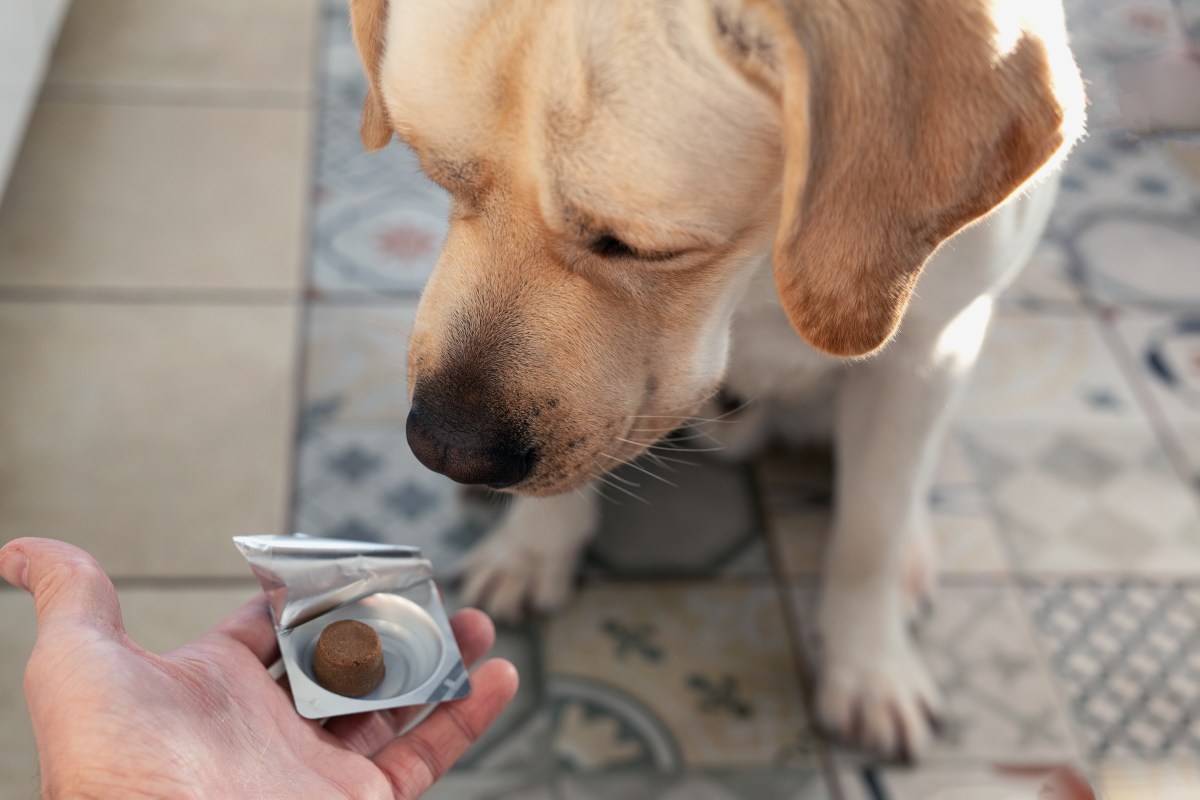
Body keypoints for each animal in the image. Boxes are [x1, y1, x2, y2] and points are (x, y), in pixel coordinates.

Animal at [348, 0, 1089, 762]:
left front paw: (868, 668)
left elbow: (870, 535)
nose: (445, 450)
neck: (759, 276)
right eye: (436, 177)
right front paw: (532, 547)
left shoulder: (928, 350)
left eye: (645, 249)